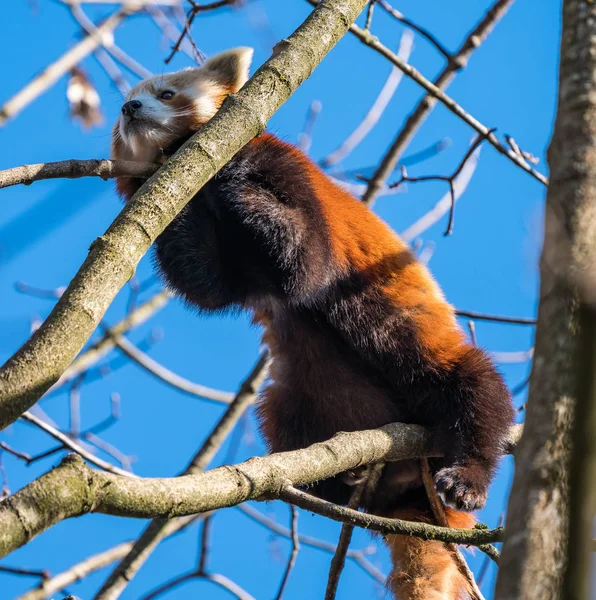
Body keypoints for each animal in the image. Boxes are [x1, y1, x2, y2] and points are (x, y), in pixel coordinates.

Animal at [114, 48, 516, 600]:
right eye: (120, 113)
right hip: (307, 395)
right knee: (282, 418)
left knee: (475, 388)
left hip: (421, 358)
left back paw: (467, 477)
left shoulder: (287, 175)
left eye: (166, 93)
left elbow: (305, 260)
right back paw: (341, 482)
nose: (130, 107)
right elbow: (207, 283)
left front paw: (231, 172)